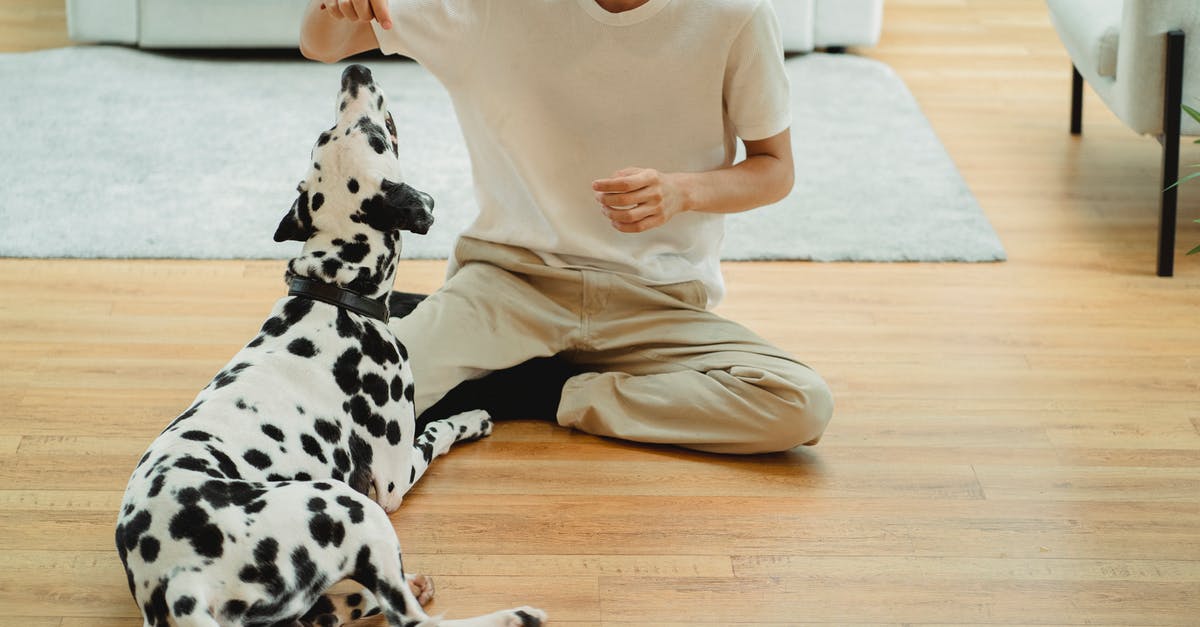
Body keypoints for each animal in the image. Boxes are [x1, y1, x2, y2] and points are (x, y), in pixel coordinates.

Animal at [113, 64, 549, 624]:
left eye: (323, 136)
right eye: (375, 137)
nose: (354, 70)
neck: (334, 292)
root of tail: (178, 581)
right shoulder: (393, 478)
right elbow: (435, 434)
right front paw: (468, 420)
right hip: (354, 507)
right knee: (414, 618)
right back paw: (511, 614)